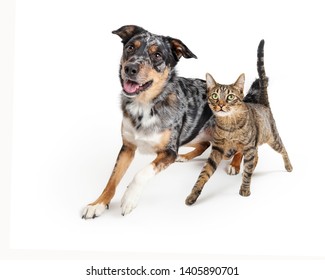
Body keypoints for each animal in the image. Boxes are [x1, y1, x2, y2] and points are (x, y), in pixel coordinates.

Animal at [82, 25, 242, 218]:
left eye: (157, 55)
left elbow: (141, 173)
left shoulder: (169, 151)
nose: (130, 68)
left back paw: (234, 164)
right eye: (130, 47)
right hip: (191, 135)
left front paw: (129, 197)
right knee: (203, 144)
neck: (144, 106)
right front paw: (98, 203)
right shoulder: (127, 147)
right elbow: (112, 179)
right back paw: (185, 157)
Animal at [184, 39, 292, 205]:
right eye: (214, 96)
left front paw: (245, 190)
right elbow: (204, 174)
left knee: (283, 149)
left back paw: (288, 166)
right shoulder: (218, 149)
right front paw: (193, 194)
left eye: (230, 97)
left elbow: (246, 172)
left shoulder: (248, 147)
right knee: (256, 157)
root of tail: (262, 103)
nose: (221, 105)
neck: (228, 123)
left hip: (272, 138)